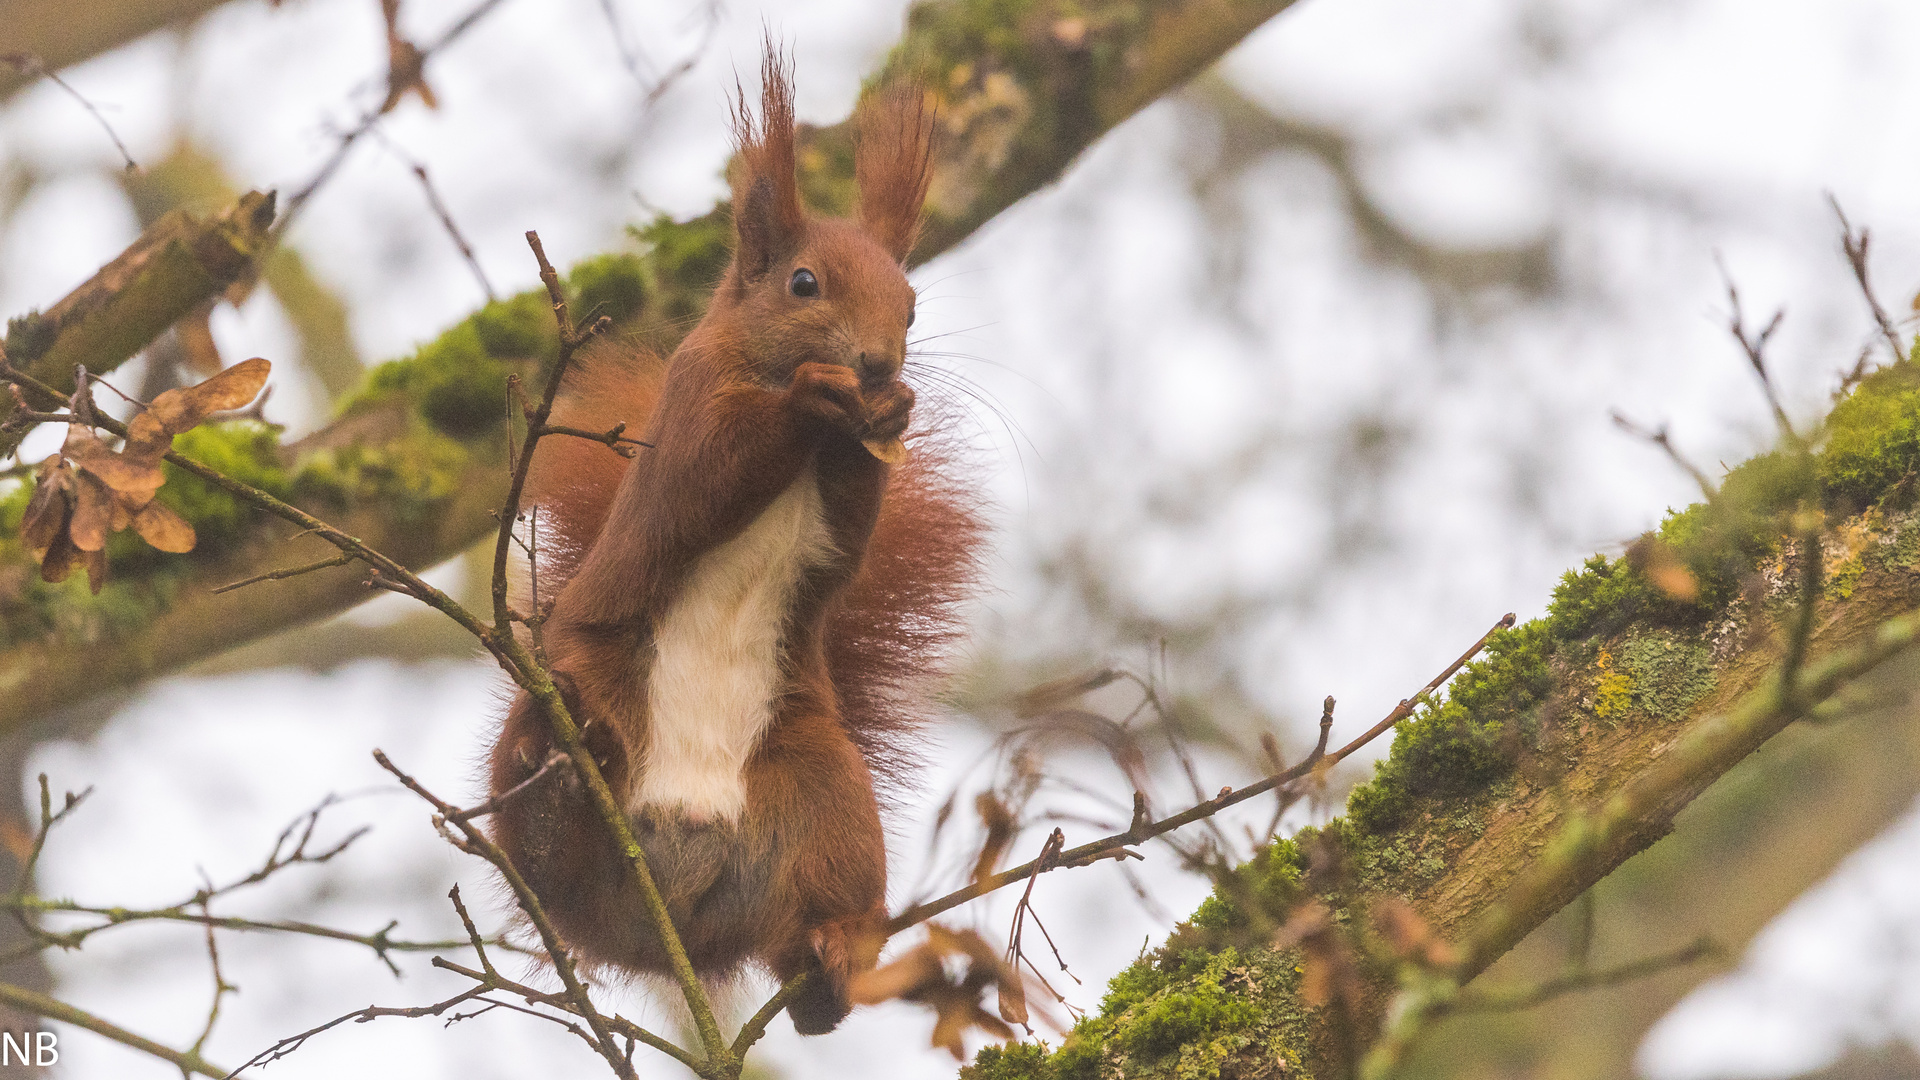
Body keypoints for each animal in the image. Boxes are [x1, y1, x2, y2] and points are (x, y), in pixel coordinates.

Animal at [480, 54, 990, 1030]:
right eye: (804, 283)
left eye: (911, 308)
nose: (880, 365)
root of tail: (668, 934)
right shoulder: (687, 416)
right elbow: (706, 475)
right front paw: (811, 401)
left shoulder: (839, 510)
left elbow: (846, 538)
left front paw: (891, 412)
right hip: (577, 685)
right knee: (545, 848)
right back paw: (560, 778)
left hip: (824, 791)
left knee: (815, 924)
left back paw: (829, 964)